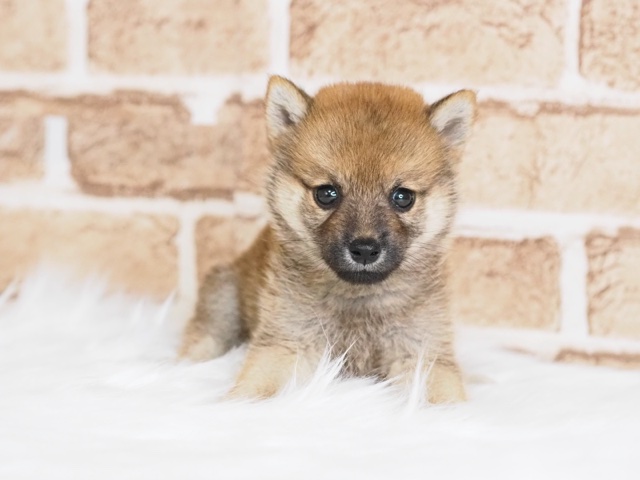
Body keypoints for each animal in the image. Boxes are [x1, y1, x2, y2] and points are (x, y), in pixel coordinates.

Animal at [180, 77, 476, 404]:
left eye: (403, 197)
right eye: (326, 193)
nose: (365, 249)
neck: (358, 301)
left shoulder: (423, 353)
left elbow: (444, 398)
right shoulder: (287, 342)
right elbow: (256, 386)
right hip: (223, 298)